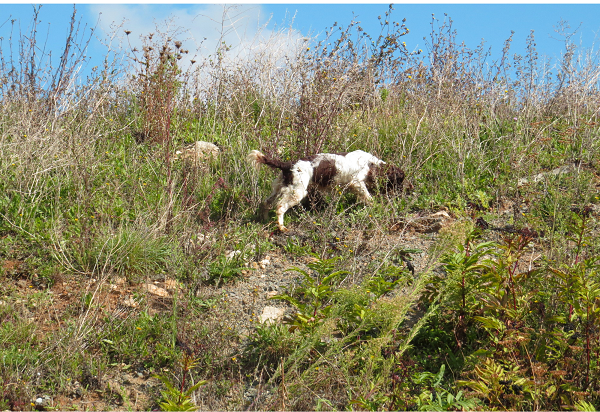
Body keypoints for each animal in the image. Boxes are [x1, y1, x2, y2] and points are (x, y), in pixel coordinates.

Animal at [246, 149, 406, 232]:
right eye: (399, 180)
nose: (402, 193)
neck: (371, 164)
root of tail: (288, 165)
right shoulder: (357, 182)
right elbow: (369, 199)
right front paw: (376, 207)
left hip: (280, 188)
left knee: (265, 203)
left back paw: (265, 220)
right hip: (297, 192)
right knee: (279, 207)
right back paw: (281, 227)